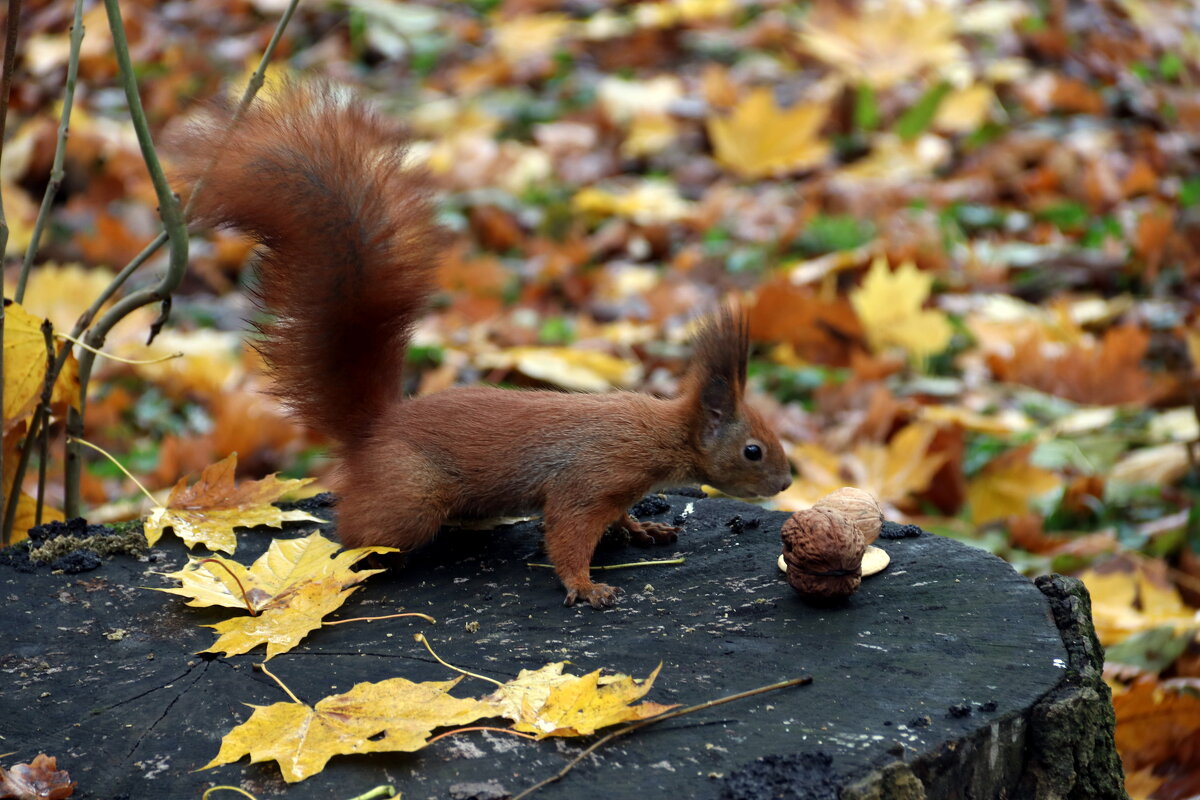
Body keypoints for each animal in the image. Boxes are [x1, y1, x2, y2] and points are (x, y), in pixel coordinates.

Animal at [166, 84, 787, 609]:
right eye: (753, 450)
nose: (785, 484)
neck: (659, 433)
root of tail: (374, 430)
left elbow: (616, 519)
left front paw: (641, 528)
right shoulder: (593, 478)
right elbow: (568, 532)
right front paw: (586, 586)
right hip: (410, 498)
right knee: (359, 530)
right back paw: (362, 557)